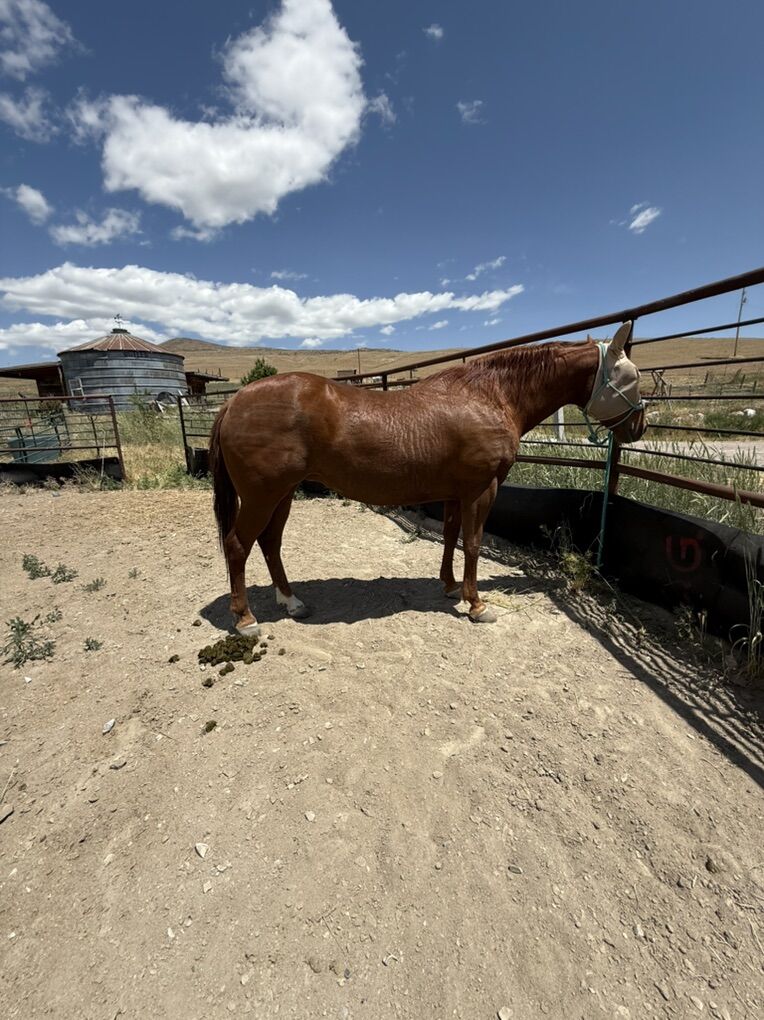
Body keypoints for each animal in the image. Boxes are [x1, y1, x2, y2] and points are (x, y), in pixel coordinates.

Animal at [209, 321, 645, 636]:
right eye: (633, 377)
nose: (639, 426)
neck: (488, 397)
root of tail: (234, 401)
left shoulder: (454, 493)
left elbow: (451, 537)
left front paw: (450, 586)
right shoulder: (481, 490)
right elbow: (473, 543)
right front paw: (477, 605)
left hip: (282, 494)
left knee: (269, 543)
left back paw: (291, 601)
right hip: (263, 496)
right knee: (237, 546)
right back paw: (245, 619)